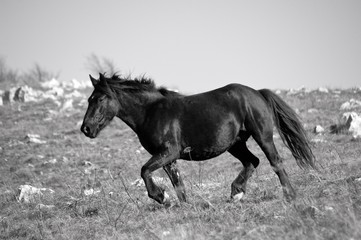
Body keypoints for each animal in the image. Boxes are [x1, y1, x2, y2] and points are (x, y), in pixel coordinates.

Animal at [80, 72, 314, 204]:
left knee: (275, 162)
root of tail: (257, 92)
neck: (151, 112)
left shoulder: (169, 152)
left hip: (262, 137)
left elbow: (144, 171)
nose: (86, 129)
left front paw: (161, 197)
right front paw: (183, 206)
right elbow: (178, 184)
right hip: (235, 144)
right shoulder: (168, 158)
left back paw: (290, 196)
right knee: (252, 161)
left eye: (100, 98)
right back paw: (236, 194)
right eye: (89, 98)